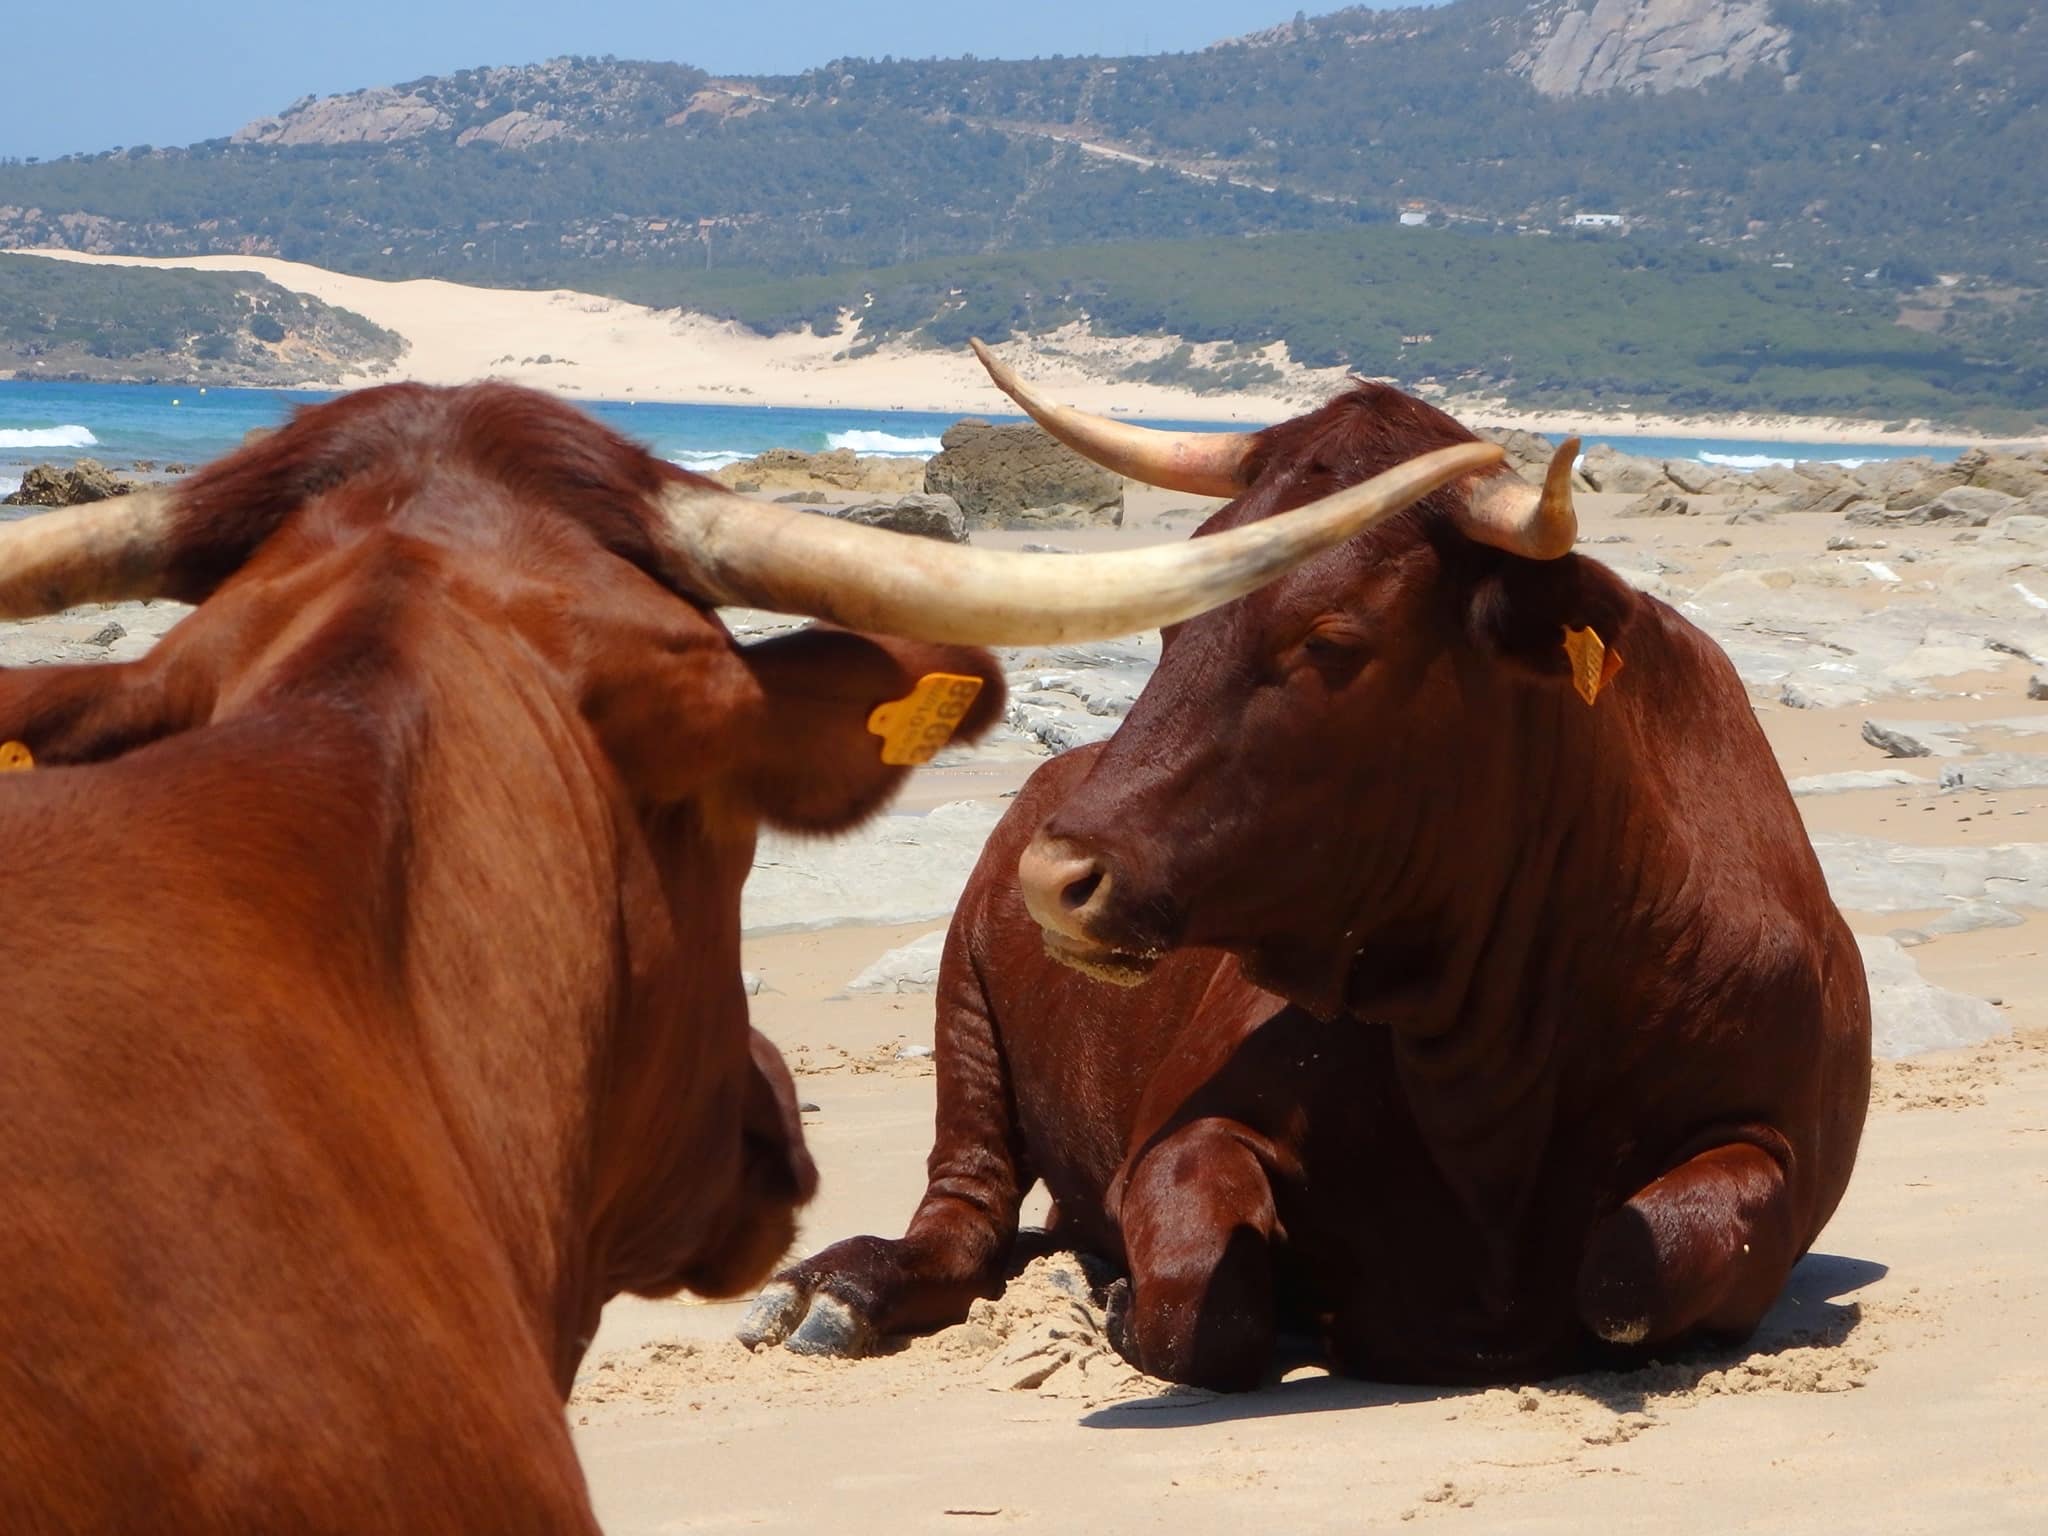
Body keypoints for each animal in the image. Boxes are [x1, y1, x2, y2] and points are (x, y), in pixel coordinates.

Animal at [741, 345, 1872, 1392]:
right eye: (1174, 609)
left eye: (1332, 638)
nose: (1053, 875)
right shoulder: (1182, 1131)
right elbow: (1206, 1301)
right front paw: (1114, 1296)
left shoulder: (1772, 1147)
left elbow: (1627, 1274)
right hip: (965, 1019)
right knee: (963, 1215)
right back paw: (840, 1288)